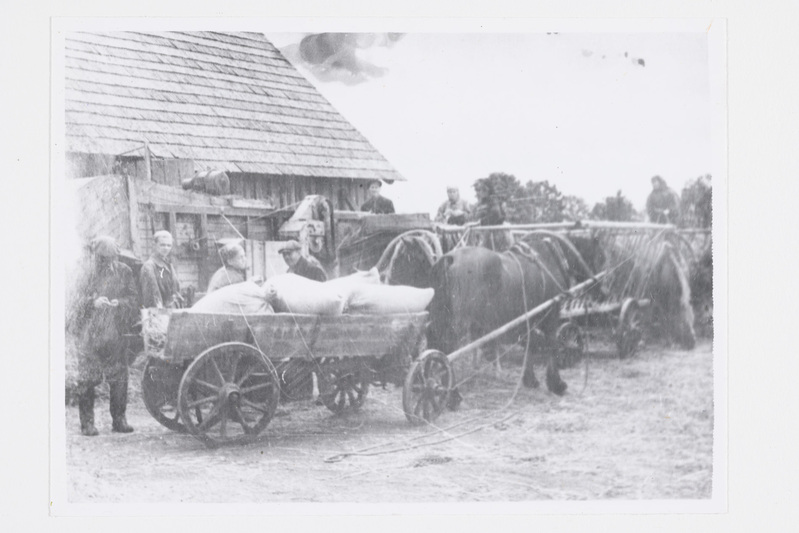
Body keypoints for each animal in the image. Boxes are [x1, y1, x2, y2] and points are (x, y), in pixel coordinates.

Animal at [428, 234, 596, 394]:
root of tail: (449, 259)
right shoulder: (551, 315)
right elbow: (551, 346)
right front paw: (556, 383)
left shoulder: (528, 319)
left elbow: (530, 345)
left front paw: (530, 379)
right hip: (459, 324)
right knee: (448, 352)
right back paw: (451, 392)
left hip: (440, 318)